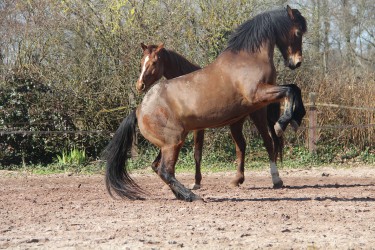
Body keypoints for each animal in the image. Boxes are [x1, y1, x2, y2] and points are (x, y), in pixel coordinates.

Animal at [137, 43, 286, 188]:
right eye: (142, 61)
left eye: (154, 62)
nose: (140, 85)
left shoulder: (197, 129)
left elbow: (197, 153)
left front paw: (196, 182)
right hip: (236, 123)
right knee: (242, 146)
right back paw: (238, 180)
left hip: (257, 116)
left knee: (268, 141)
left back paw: (276, 179)